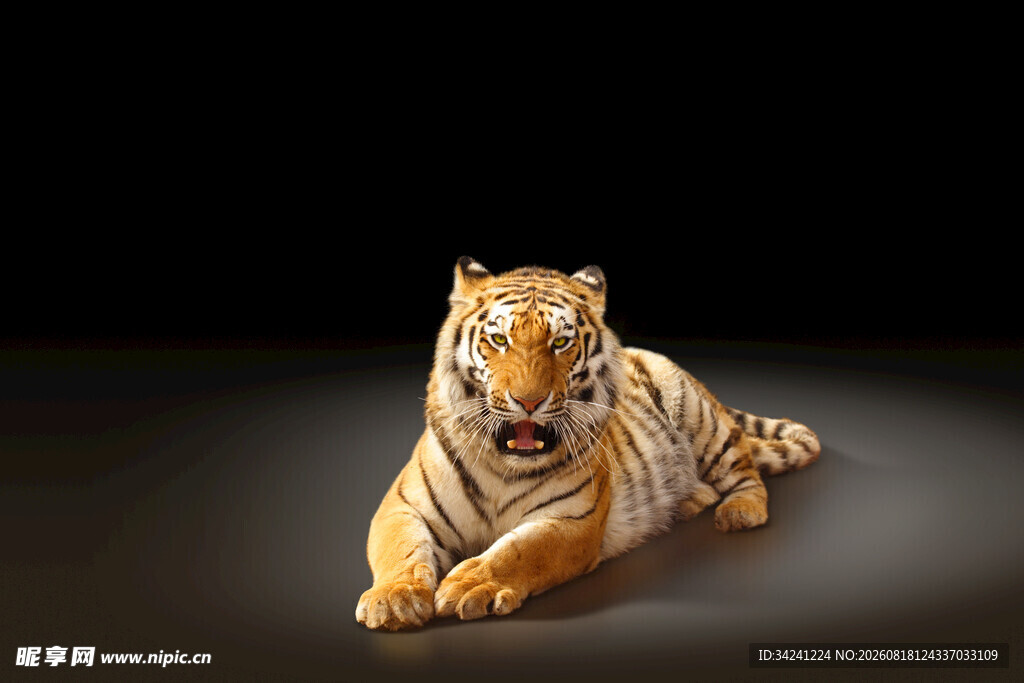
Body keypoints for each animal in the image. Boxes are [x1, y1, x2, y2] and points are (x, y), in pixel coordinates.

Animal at [356, 257, 820, 631]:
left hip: (701, 422)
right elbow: (400, 548)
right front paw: (393, 600)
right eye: (499, 340)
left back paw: (739, 511)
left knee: (746, 469)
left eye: (560, 342)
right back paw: (688, 501)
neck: (504, 465)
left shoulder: (572, 521)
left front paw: (468, 585)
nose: (529, 402)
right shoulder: (402, 505)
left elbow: (518, 550)